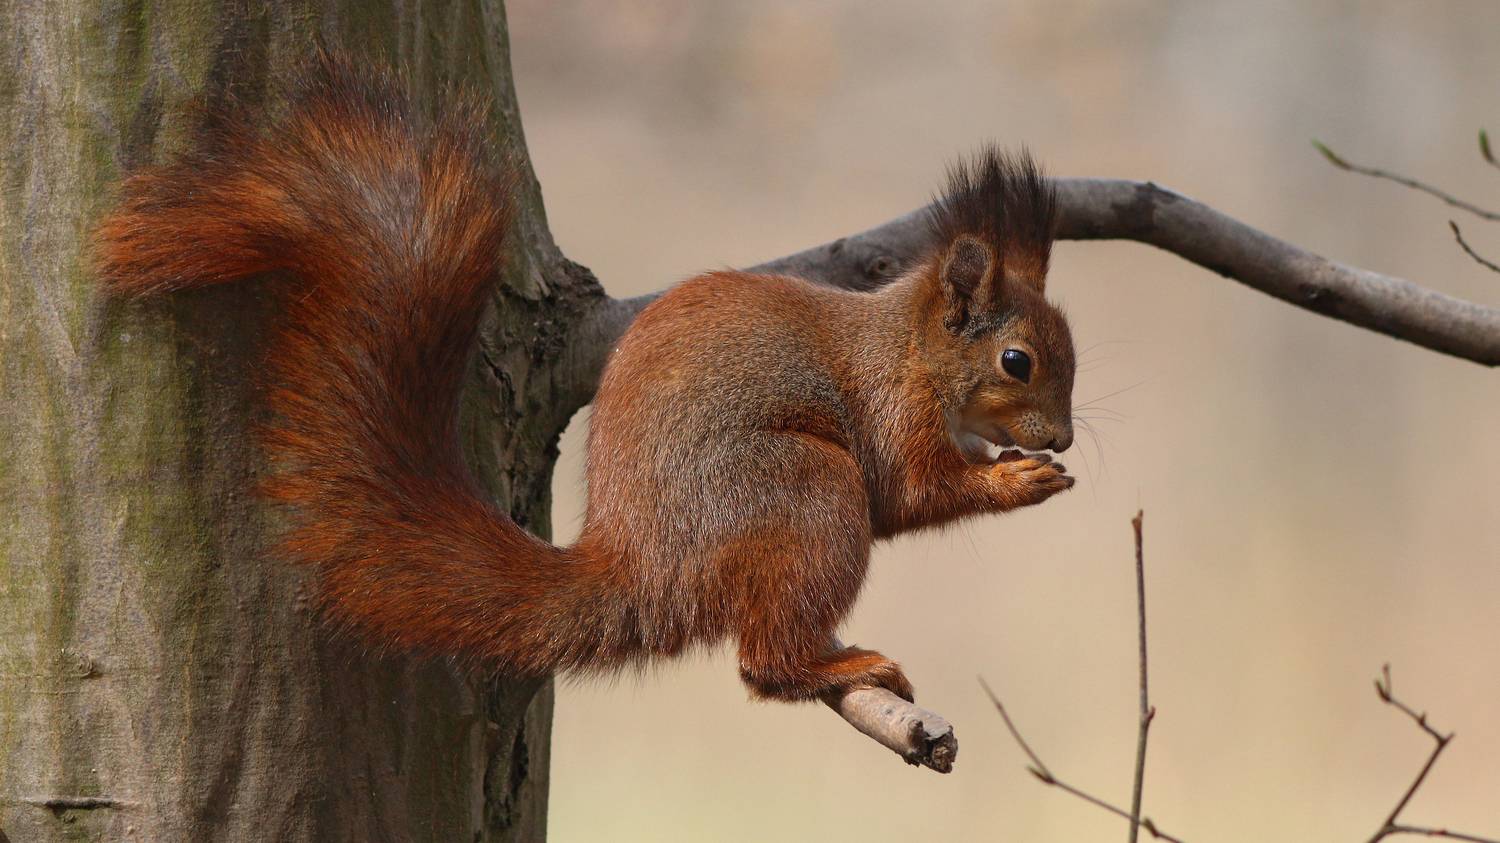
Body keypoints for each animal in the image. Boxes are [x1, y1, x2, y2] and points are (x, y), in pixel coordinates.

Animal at [94, 55, 1076, 706]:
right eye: (1017, 360)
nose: (1064, 437)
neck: (913, 352)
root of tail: (642, 563)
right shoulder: (889, 411)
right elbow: (910, 491)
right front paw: (1017, 479)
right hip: (800, 491)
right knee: (763, 660)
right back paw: (834, 663)